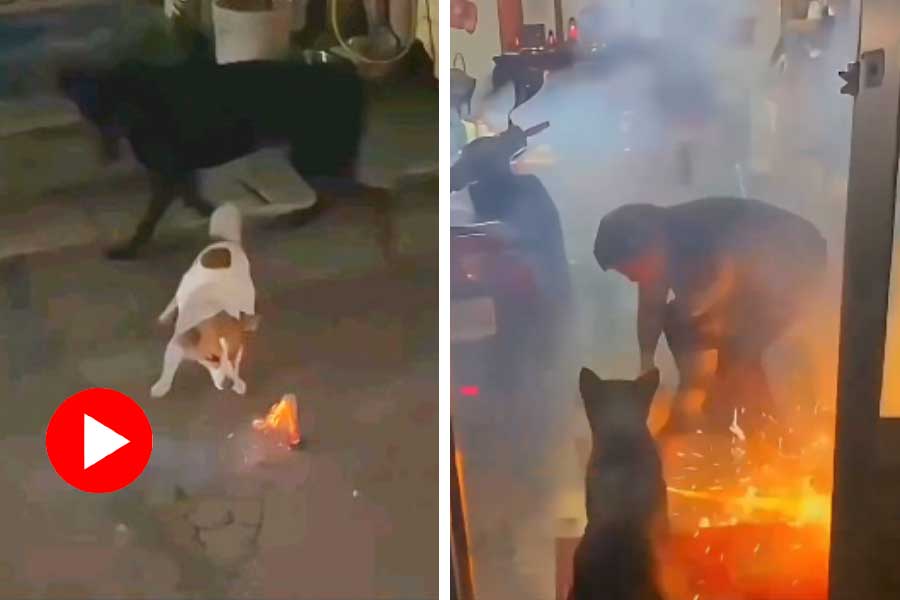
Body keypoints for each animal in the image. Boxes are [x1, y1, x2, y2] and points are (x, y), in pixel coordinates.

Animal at [58, 58, 372, 260]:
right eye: (94, 110)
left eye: (123, 107)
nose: (109, 146)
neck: (144, 104)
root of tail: (349, 75)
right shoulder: (175, 173)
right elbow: (192, 196)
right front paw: (213, 217)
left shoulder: (166, 175)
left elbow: (148, 219)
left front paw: (129, 250)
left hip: (310, 155)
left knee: (329, 192)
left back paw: (301, 216)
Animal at [152, 203, 260, 398]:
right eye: (212, 358)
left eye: (232, 356)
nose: (228, 384)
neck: (214, 312)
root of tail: (225, 242)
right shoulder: (178, 343)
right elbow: (168, 367)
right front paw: (161, 386)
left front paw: (238, 382)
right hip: (186, 279)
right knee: (175, 299)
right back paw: (166, 314)